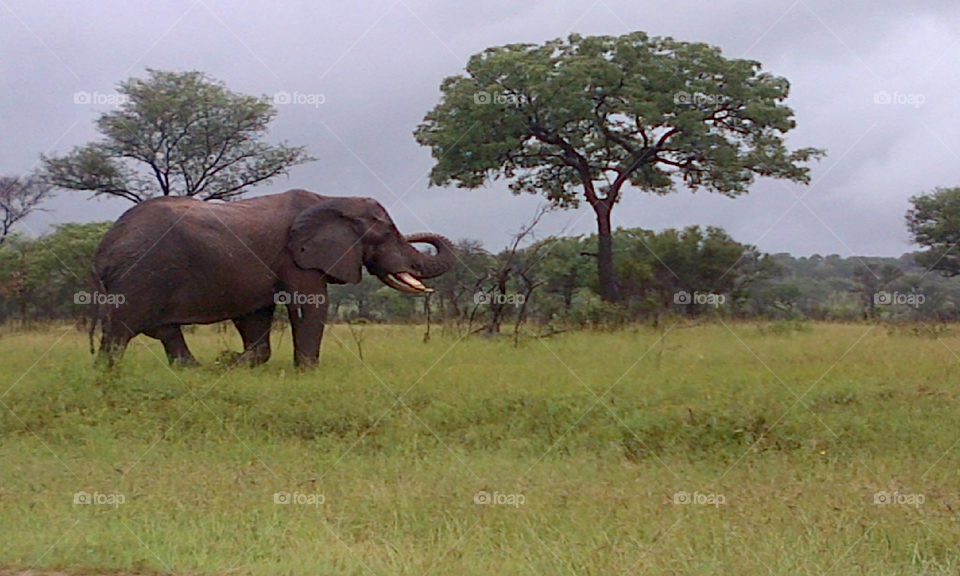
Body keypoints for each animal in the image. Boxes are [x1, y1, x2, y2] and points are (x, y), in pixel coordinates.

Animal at [89, 189, 455, 367]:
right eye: (385, 234)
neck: (330, 200)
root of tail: (104, 247)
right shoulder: (297, 257)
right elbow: (310, 306)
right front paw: (307, 371)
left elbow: (256, 315)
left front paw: (233, 363)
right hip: (140, 273)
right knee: (120, 330)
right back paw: (107, 374)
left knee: (163, 330)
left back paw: (194, 369)